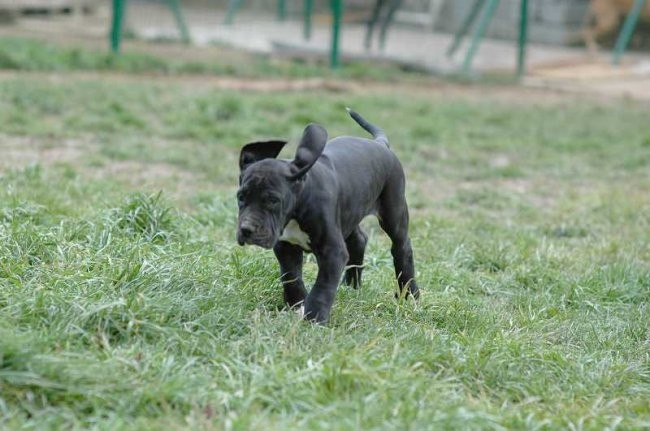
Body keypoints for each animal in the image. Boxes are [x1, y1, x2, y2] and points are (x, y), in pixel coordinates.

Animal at [235, 109, 418, 324]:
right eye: (240, 197)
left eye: (273, 200)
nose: (246, 229)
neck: (300, 201)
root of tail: (381, 144)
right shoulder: (285, 245)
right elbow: (290, 275)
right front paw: (296, 303)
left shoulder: (332, 251)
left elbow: (323, 286)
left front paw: (314, 318)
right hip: (349, 212)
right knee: (359, 239)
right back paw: (351, 285)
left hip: (394, 210)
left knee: (402, 247)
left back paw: (409, 294)